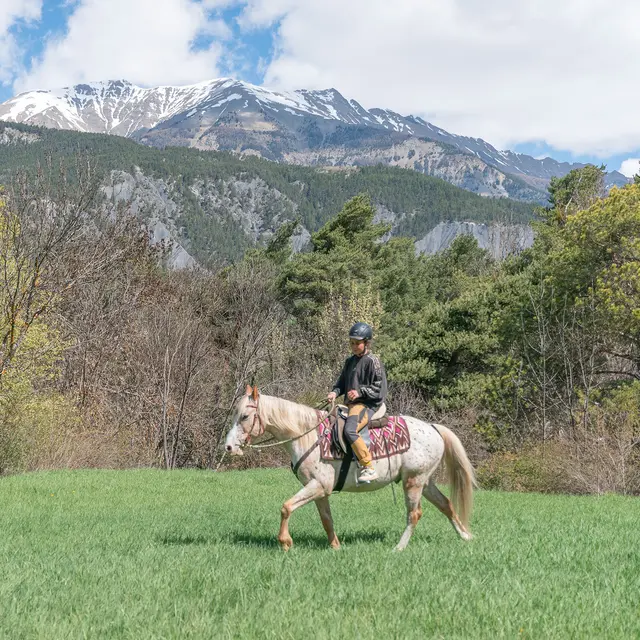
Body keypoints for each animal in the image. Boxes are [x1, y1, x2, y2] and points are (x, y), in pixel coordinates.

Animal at [224, 385, 476, 551]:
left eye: (244, 416)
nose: (228, 447)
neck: (307, 435)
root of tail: (433, 428)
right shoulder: (320, 490)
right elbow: (326, 519)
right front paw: (335, 546)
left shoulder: (318, 485)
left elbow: (286, 507)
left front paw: (285, 542)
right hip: (425, 481)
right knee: (446, 504)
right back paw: (465, 536)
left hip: (413, 482)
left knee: (414, 514)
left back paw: (398, 548)